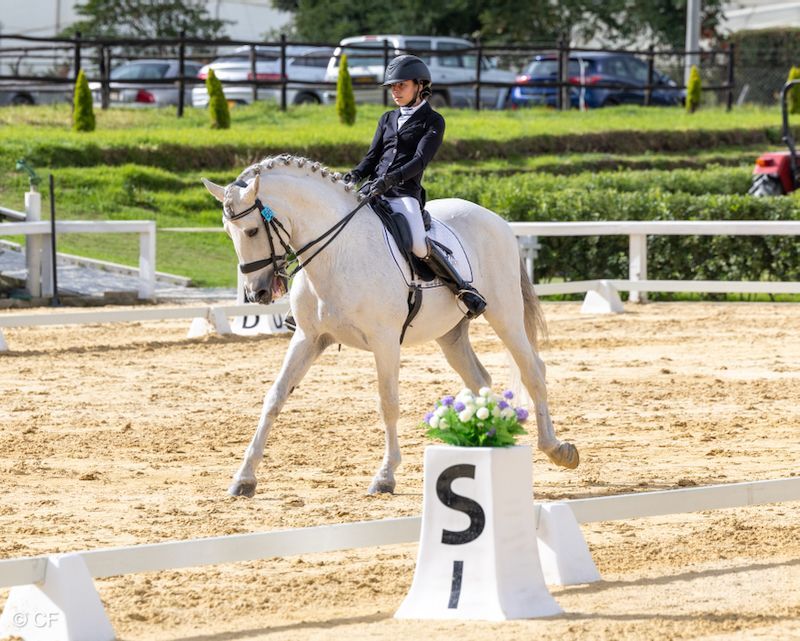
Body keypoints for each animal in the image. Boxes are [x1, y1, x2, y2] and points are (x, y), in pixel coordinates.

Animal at [202, 154, 579, 497]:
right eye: (228, 232)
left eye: (252, 230)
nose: (258, 292)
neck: (337, 254)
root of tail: (494, 217)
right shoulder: (309, 339)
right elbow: (275, 397)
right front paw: (244, 478)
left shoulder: (384, 342)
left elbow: (388, 403)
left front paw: (385, 476)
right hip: (450, 335)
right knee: (479, 379)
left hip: (505, 315)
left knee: (533, 371)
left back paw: (557, 449)